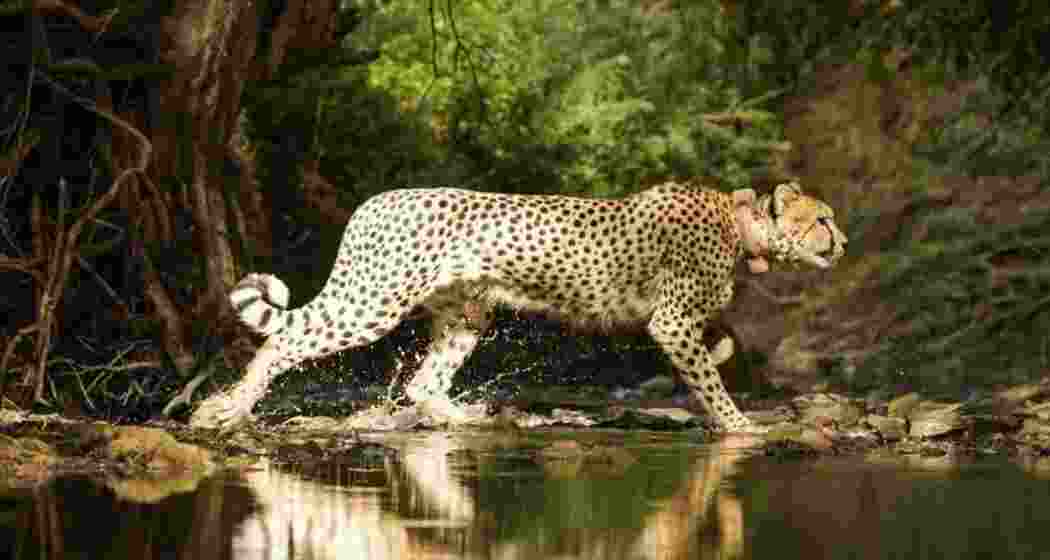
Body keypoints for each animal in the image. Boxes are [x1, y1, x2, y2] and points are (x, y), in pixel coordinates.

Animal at [190, 180, 847, 432]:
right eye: (821, 219)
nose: (842, 242)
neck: (743, 229)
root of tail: (376, 200)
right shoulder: (671, 321)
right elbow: (710, 380)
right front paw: (740, 426)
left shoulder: (681, 323)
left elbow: (720, 350)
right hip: (375, 299)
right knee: (283, 340)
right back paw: (227, 408)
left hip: (465, 314)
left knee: (424, 382)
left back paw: (464, 418)